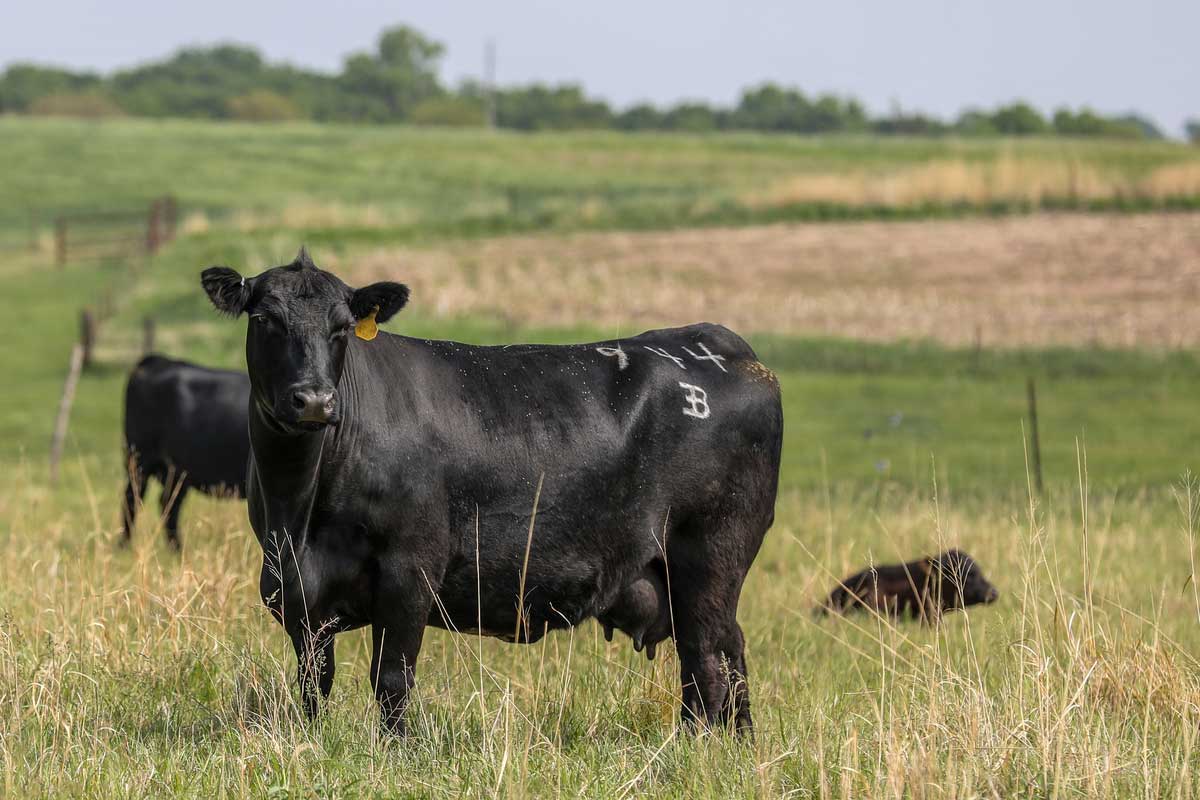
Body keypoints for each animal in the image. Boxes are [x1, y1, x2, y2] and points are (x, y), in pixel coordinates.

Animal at [121, 354, 250, 549]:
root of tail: (160, 361)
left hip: (178, 472)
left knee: (168, 503)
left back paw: (176, 548)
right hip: (140, 459)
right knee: (133, 498)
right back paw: (125, 545)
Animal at [200, 248, 783, 736]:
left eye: (342, 327)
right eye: (264, 320)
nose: (315, 401)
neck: (299, 510)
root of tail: (721, 345)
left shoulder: (410, 571)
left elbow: (391, 678)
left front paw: (394, 750)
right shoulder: (295, 591)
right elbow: (313, 683)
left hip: (710, 555)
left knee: (709, 660)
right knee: (718, 658)